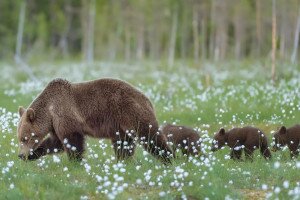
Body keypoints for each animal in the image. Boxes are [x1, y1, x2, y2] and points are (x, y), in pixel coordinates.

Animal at [17, 77, 173, 163]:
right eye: (20, 138)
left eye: (25, 138)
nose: (20, 155)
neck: (50, 110)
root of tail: (147, 99)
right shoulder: (55, 124)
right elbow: (55, 142)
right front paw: (32, 155)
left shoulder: (65, 114)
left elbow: (71, 140)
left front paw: (75, 161)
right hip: (121, 126)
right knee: (123, 144)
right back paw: (124, 161)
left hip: (132, 113)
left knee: (150, 136)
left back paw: (169, 158)